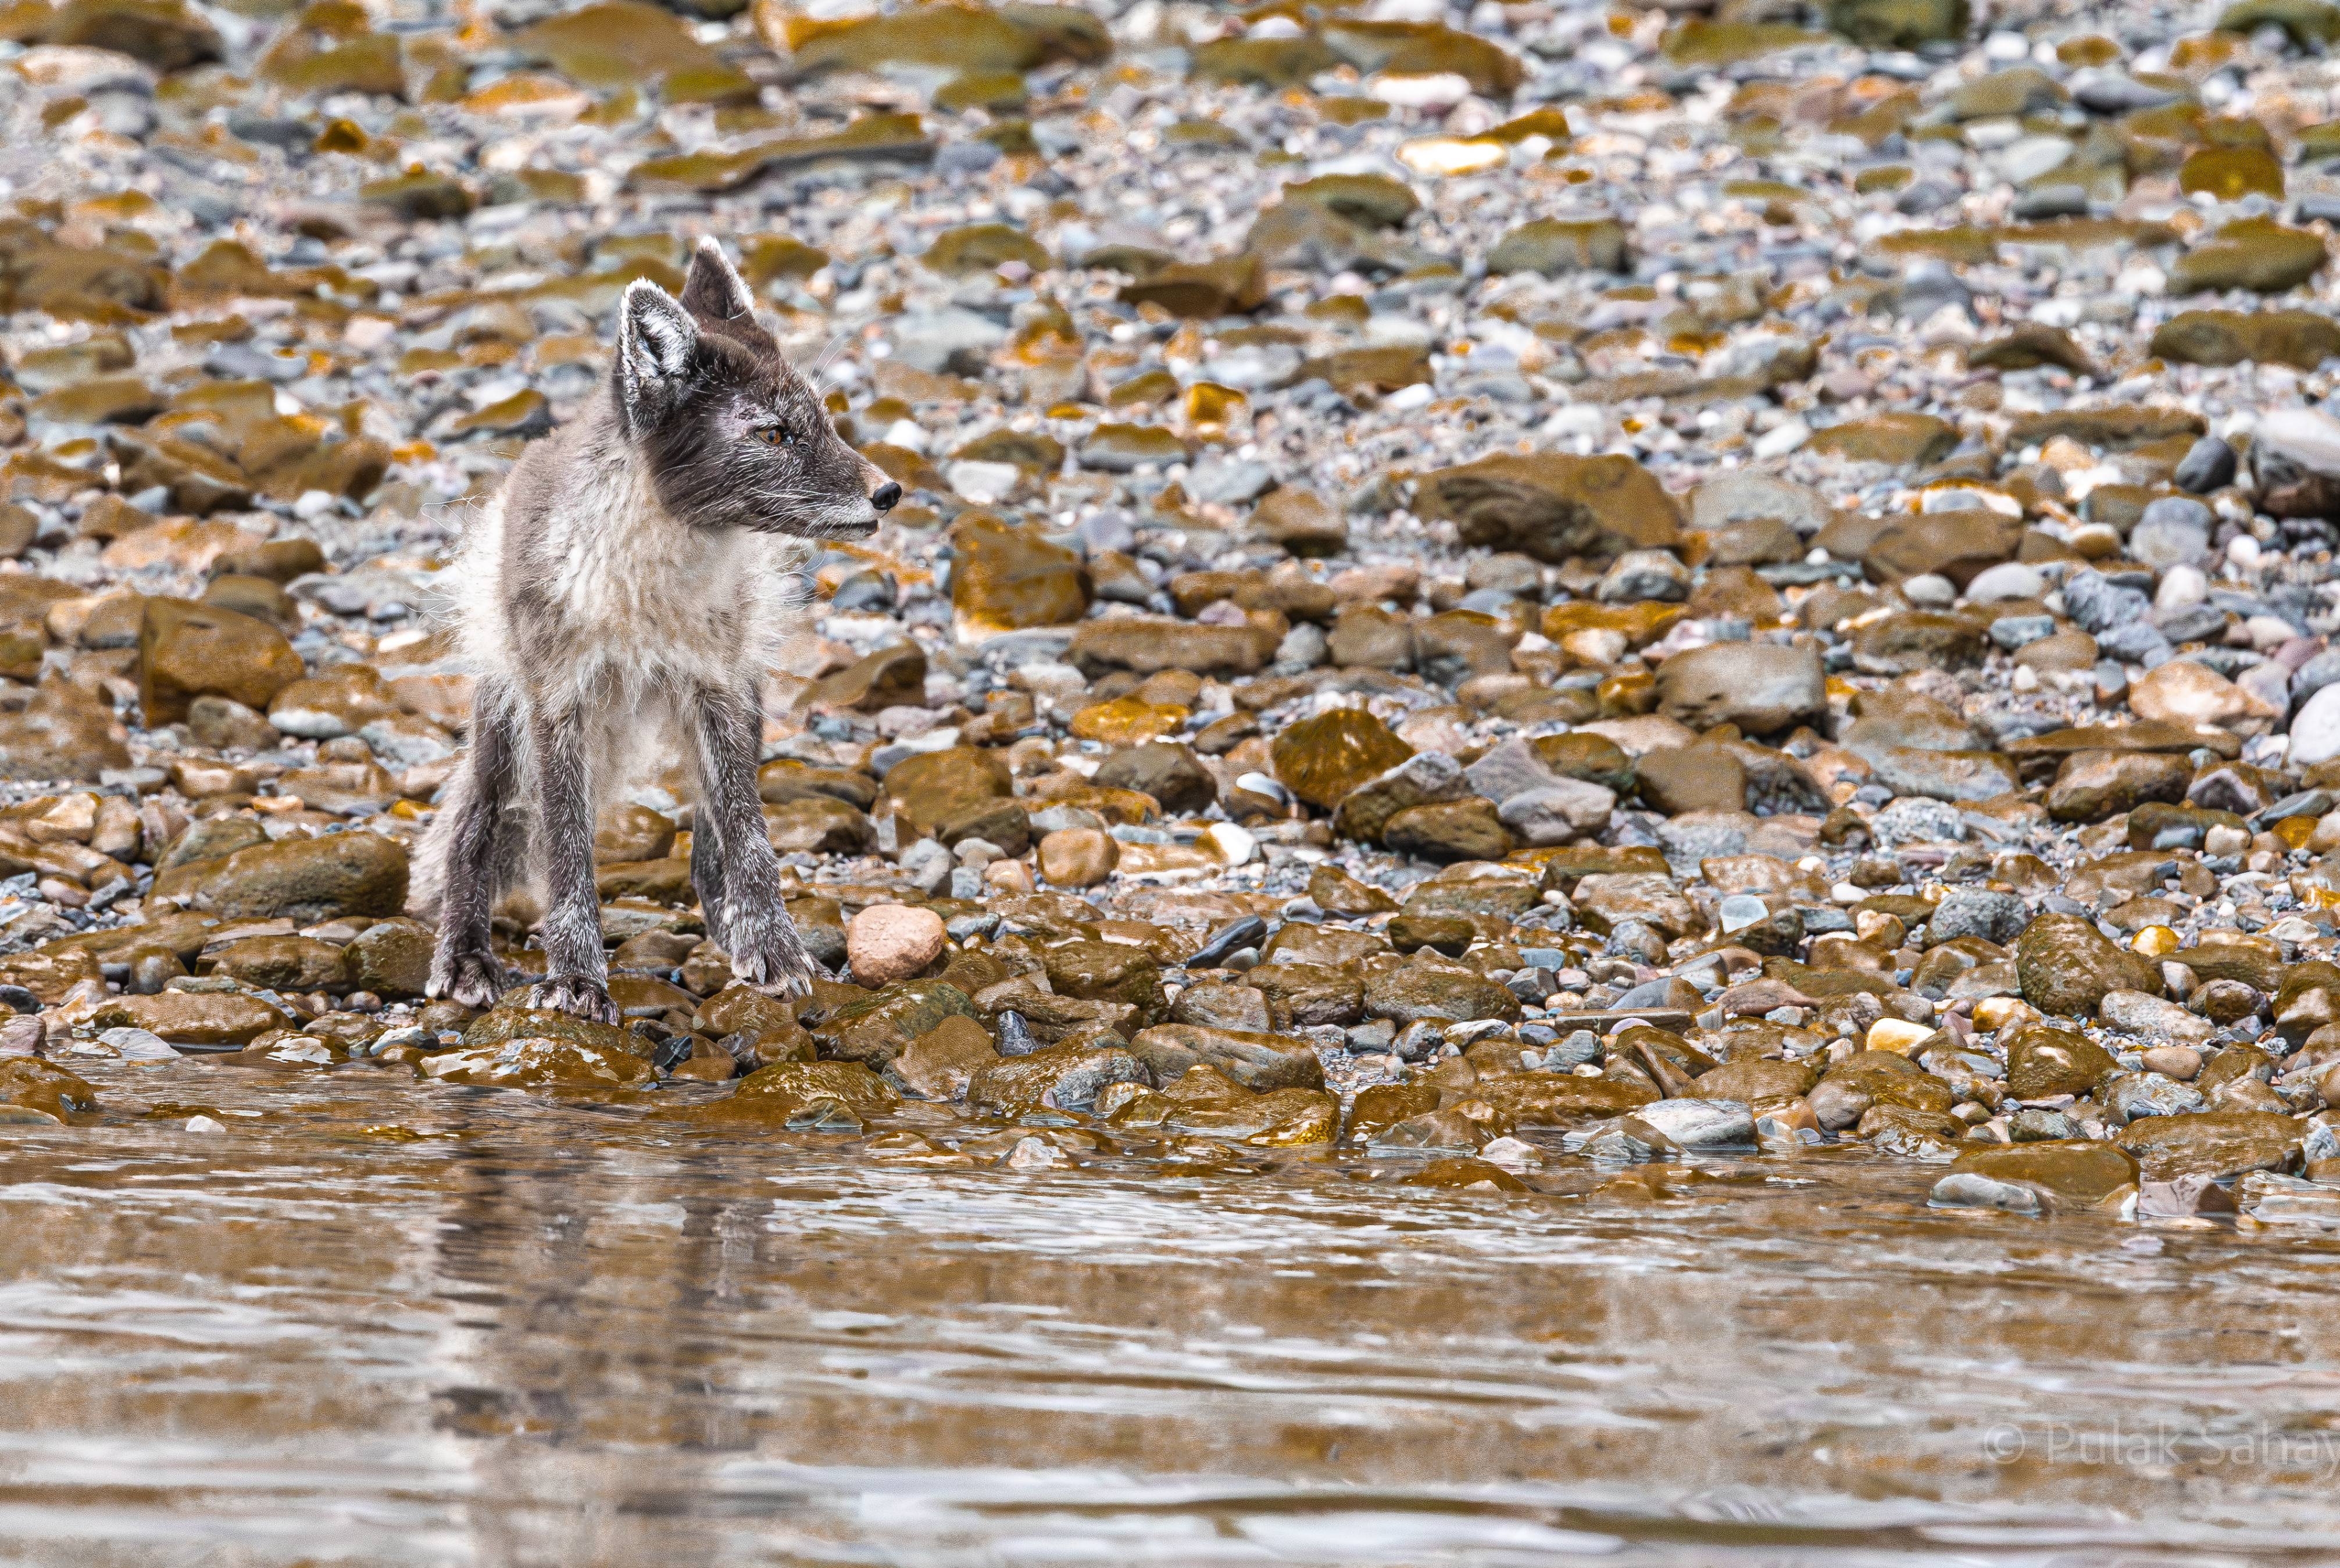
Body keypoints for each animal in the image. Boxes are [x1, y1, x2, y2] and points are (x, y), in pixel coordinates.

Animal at [416, 237, 900, 1024]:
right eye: (772, 433)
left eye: (822, 420)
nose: (887, 491)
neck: (645, 594)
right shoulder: (559, 702)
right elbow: (567, 846)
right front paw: (575, 978)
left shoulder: (715, 686)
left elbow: (747, 832)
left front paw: (772, 948)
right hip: (503, 719)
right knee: (473, 821)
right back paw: (463, 955)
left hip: (747, 702)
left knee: (710, 831)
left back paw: (728, 928)